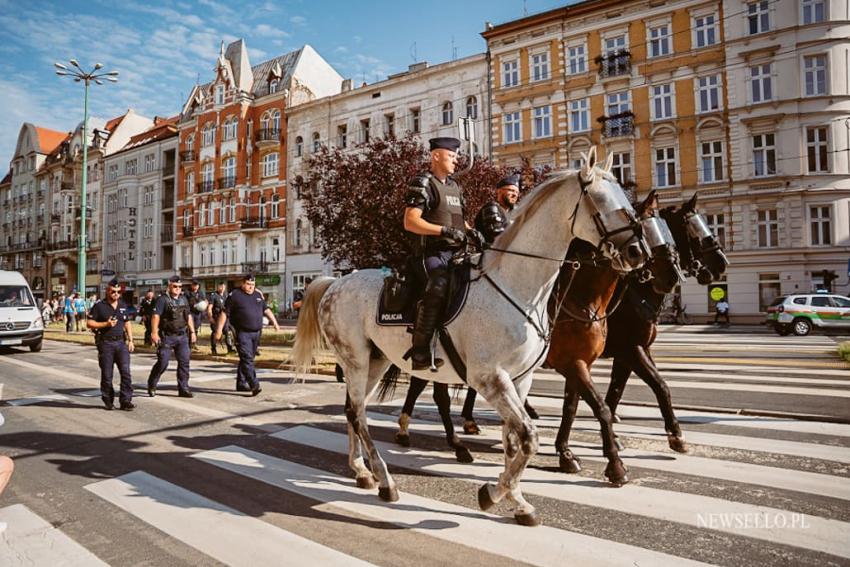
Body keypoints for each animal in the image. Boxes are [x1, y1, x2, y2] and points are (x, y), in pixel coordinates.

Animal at [294, 145, 644, 524]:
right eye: (600, 199)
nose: (637, 252)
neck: (517, 285)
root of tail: (336, 283)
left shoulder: (520, 380)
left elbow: (513, 439)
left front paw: (518, 501)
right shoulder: (490, 378)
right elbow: (529, 437)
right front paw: (493, 494)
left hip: (375, 362)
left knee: (351, 411)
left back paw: (361, 471)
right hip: (356, 361)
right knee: (359, 414)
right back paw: (385, 480)